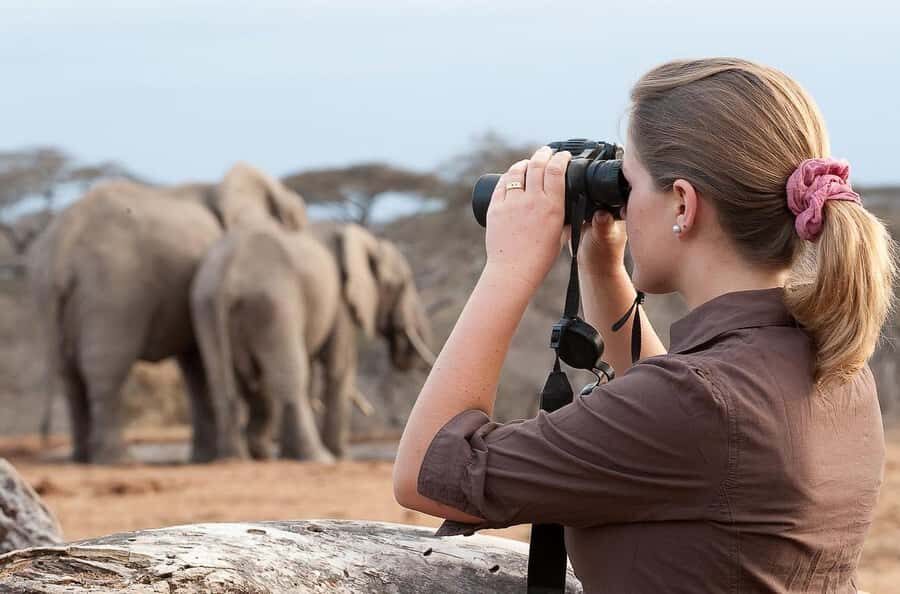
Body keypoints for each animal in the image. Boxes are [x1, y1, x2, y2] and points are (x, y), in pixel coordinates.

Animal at [28, 163, 308, 464]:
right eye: (294, 222)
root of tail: (63, 243)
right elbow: (210, 365)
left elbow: (197, 368)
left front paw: (204, 458)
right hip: (111, 288)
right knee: (105, 369)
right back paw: (120, 461)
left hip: (47, 290)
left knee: (69, 374)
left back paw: (83, 458)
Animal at [189, 223, 435, 462]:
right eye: (401, 285)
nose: (371, 411)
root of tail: (226, 276)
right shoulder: (340, 304)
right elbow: (339, 368)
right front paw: (342, 456)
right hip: (274, 304)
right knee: (287, 377)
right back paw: (317, 457)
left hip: (205, 307)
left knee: (225, 381)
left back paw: (236, 457)